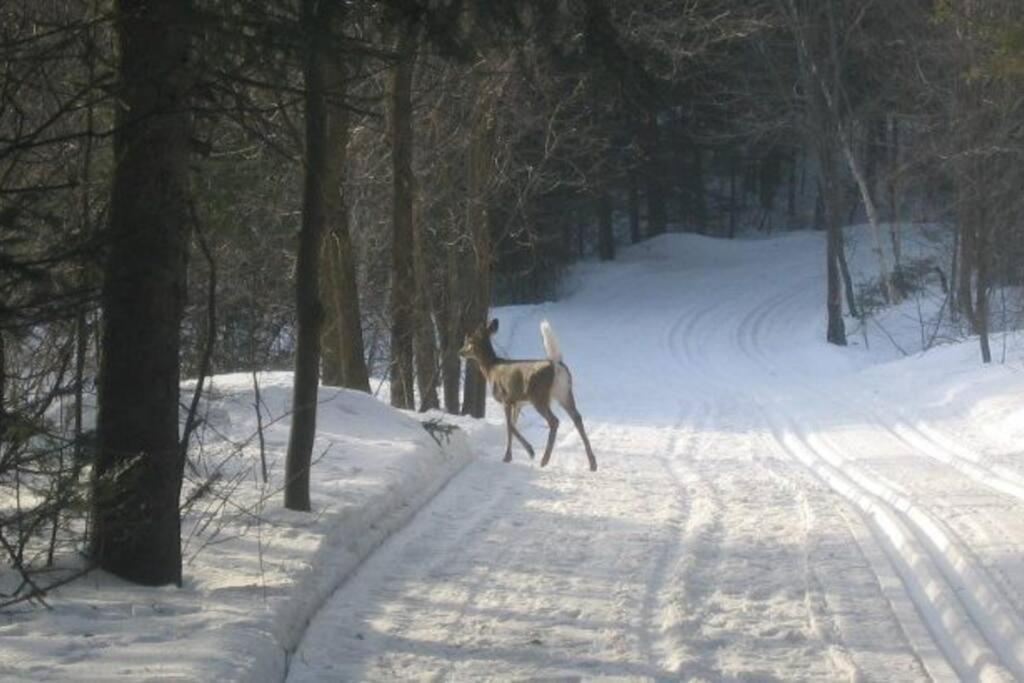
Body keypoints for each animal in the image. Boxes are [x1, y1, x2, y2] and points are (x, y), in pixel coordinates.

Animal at [460, 319, 598, 471]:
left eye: (469, 340)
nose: (460, 352)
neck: (490, 369)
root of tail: (556, 364)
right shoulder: (518, 403)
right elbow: (512, 426)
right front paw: (508, 456)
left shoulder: (506, 398)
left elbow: (509, 426)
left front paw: (527, 452)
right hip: (564, 392)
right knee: (577, 418)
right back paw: (592, 463)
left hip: (539, 396)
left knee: (554, 421)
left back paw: (544, 460)